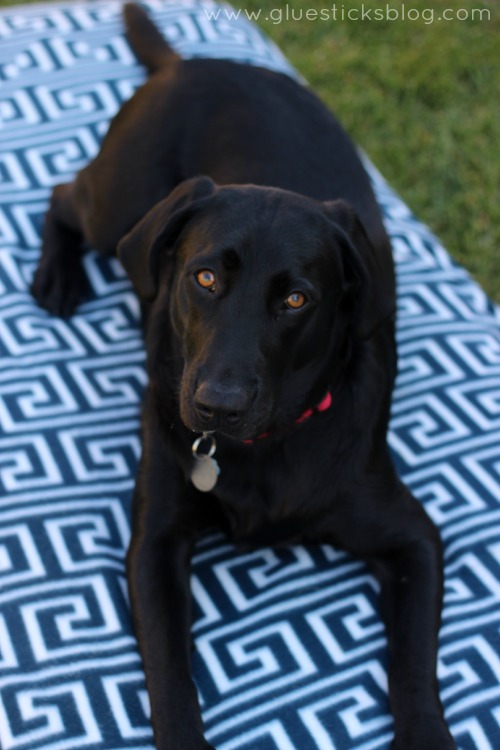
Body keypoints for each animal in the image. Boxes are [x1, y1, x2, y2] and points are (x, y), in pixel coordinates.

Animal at [32, 5, 458, 750]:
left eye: (297, 299)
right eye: (204, 278)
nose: (218, 406)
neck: (263, 448)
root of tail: (190, 63)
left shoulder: (412, 538)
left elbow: (413, 663)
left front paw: (428, 733)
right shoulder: (155, 541)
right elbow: (171, 674)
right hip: (119, 205)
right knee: (63, 198)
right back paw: (56, 276)